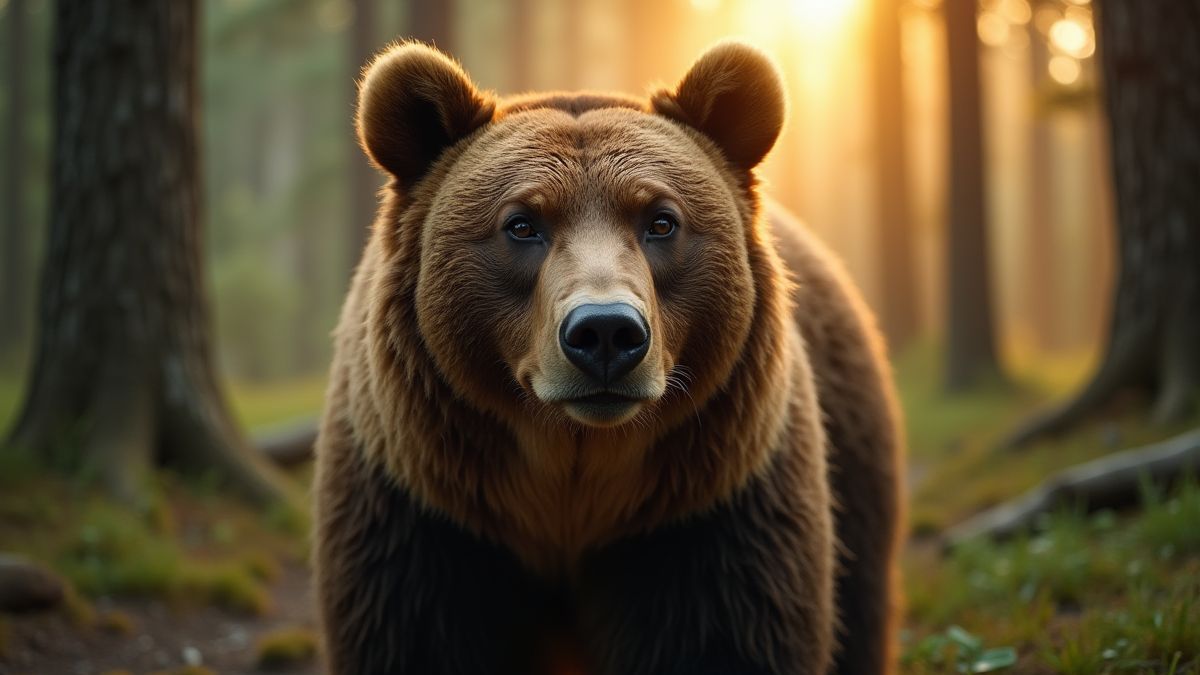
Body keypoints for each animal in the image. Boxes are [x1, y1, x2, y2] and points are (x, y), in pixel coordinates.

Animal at [313, 41, 904, 675]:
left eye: (661, 221)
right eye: (521, 224)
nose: (605, 332)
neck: (573, 489)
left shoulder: (707, 515)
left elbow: (723, 635)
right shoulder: (425, 515)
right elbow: (417, 632)